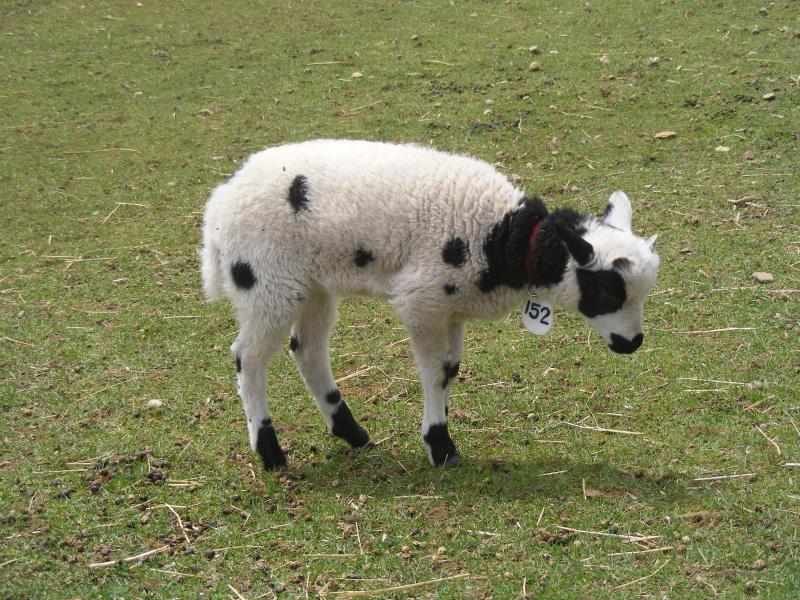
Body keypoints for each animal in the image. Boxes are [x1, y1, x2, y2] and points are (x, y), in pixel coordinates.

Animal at [201, 139, 660, 470]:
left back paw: (352, 433)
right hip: (265, 281)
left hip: (311, 283)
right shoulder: (421, 300)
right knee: (249, 359)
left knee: (308, 350)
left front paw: (442, 432)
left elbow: (451, 369)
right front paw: (440, 446)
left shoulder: (450, 307)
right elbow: (435, 372)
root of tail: (219, 204)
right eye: (608, 292)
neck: (502, 238)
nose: (633, 342)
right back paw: (270, 452)